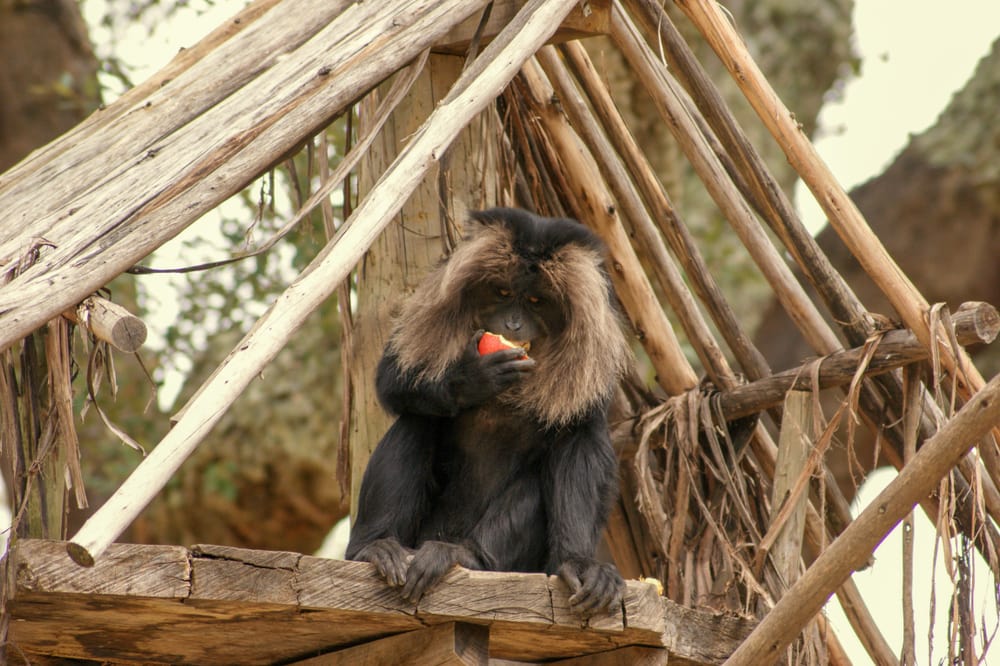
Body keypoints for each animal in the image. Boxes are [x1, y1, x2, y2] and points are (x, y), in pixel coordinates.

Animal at [346, 207, 632, 616]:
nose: (512, 324)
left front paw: (577, 562)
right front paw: (471, 379)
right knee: (417, 420)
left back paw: (467, 557)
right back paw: (373, 548)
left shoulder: (592, 358)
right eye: (503, 293)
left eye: (535, 301)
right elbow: (393, 378)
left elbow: (580, 443)